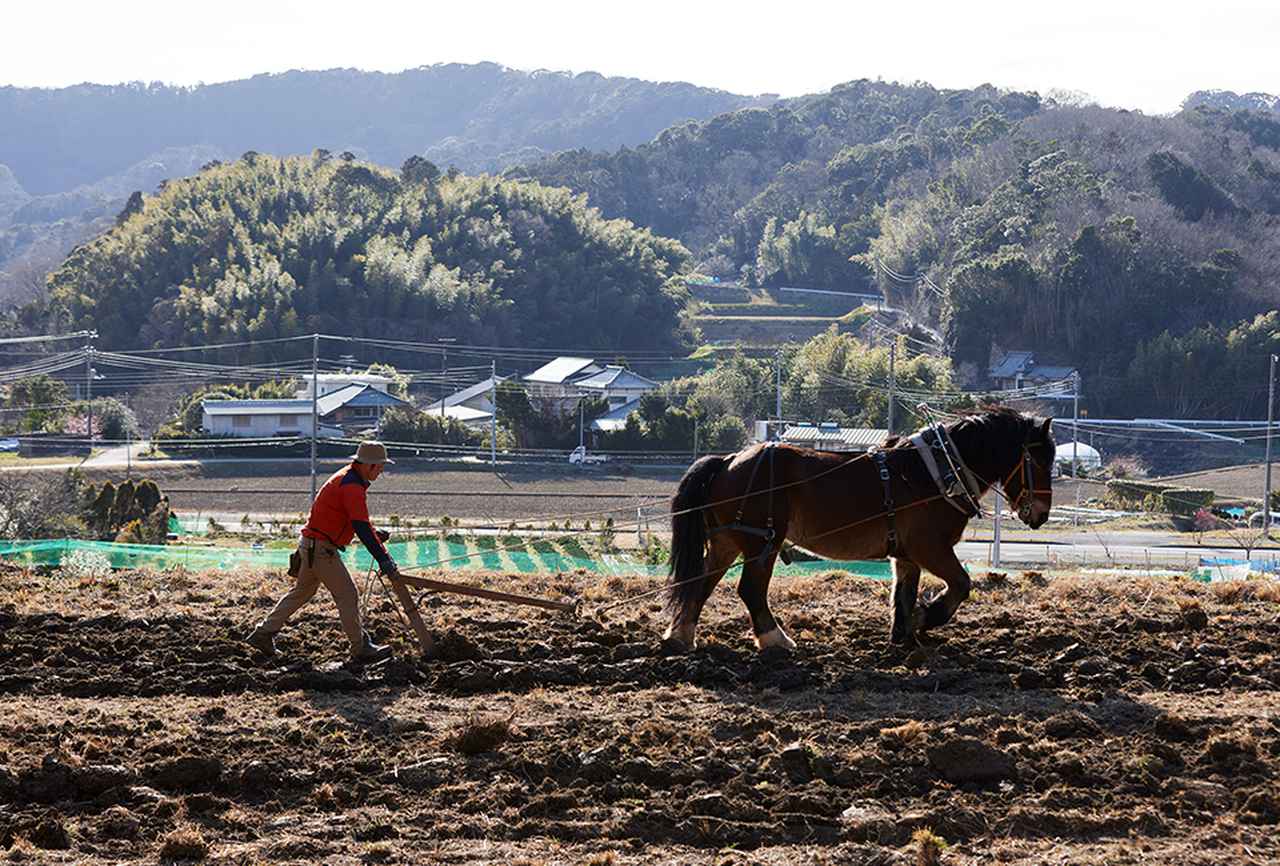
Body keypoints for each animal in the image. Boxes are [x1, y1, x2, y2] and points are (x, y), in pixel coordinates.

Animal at [663, 406, 1055, 651]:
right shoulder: (931, 547)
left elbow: (903, 593)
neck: (936, 471)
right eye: (1039, 460)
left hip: (727, 541)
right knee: (750, 590)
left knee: (700, 583)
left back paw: (680, 636)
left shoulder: (907, 554)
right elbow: (960, 584)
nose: (1041, 514)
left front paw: (904, 635)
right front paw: (926, 617)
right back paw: (775, 640)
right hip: (764, 541)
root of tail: (729, 461)